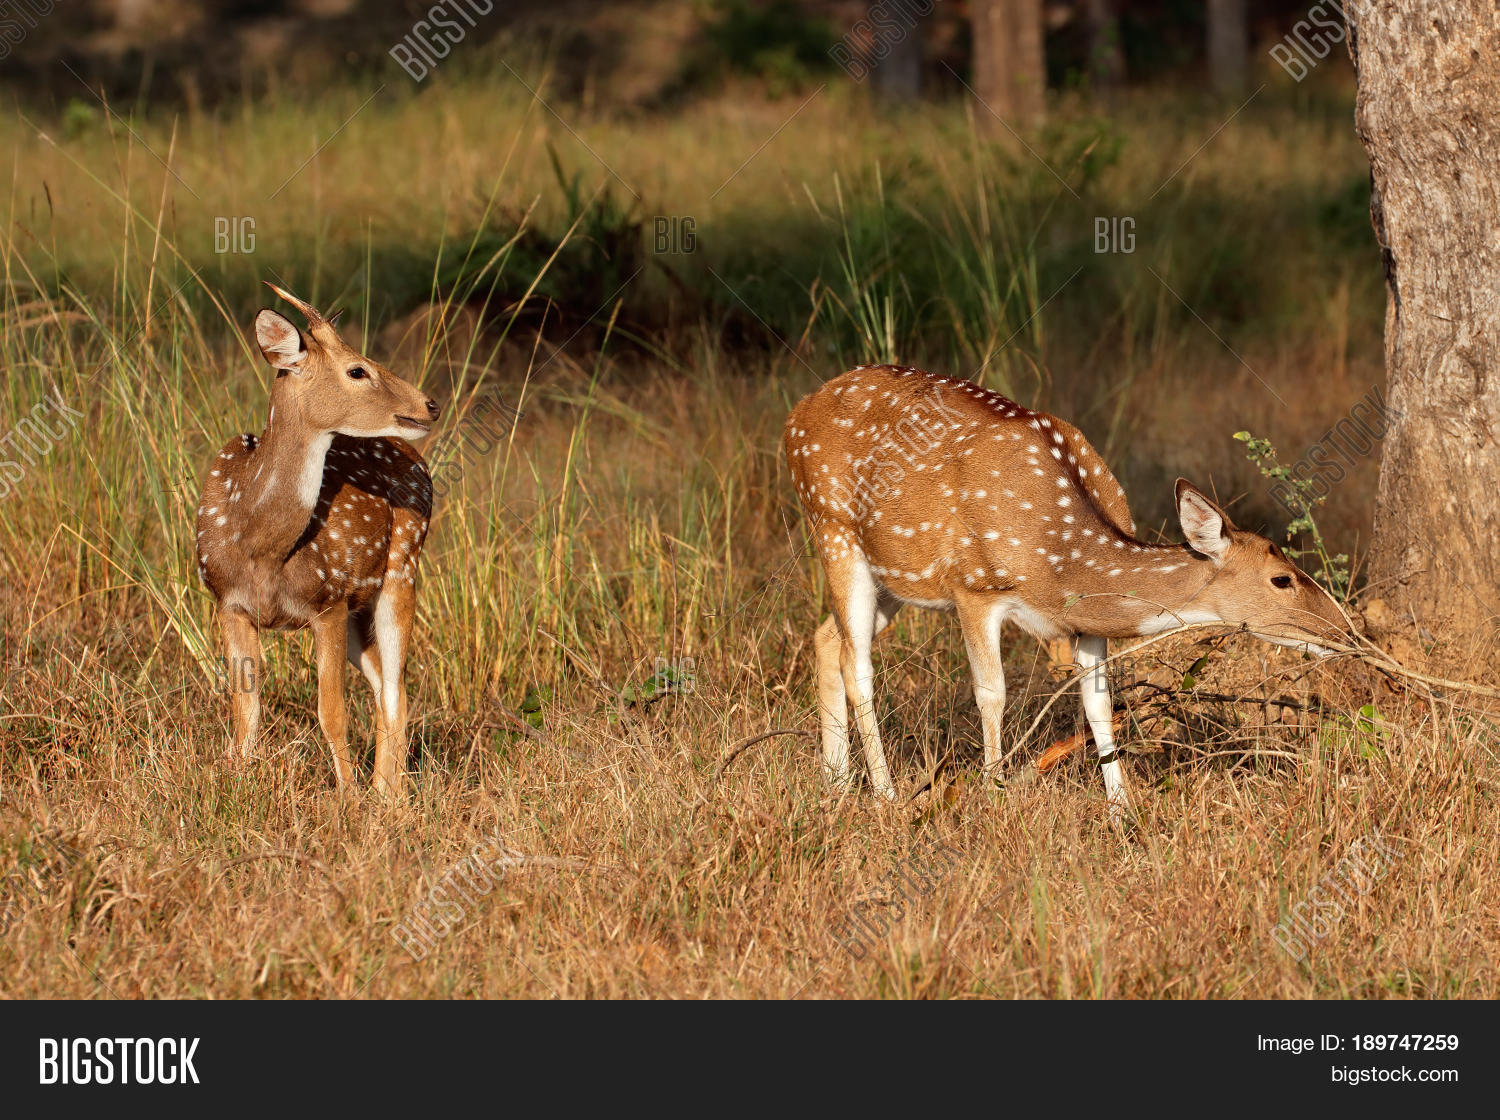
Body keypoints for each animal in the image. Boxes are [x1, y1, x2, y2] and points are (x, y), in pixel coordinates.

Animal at [195, 283, 441, 797]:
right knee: (386, 687)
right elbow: (246, 712)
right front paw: (236, 786)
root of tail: (417, 461)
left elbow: (332, 713)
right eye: (357, 369)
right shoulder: (228, 604)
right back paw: (386, 791)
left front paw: (347, 797)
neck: (261, 546)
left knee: (396, 688)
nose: (430, 405)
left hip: (402, 569)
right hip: (360, 609)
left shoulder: (327, 601)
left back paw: (387, 796)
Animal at [785, 364, 1353, 820]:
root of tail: (797, 411)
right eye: (1281, 578)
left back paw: (835, 784)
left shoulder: (1085, 623)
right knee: (858, 666)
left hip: (894, 580)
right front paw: (993, 797)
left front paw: (1122, 810)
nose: (1345, 631)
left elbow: (1099, 704)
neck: (1060, 564)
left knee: (826, 639)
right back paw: (883, 795)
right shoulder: (974, 588)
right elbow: (992, 694)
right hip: (833, 530)